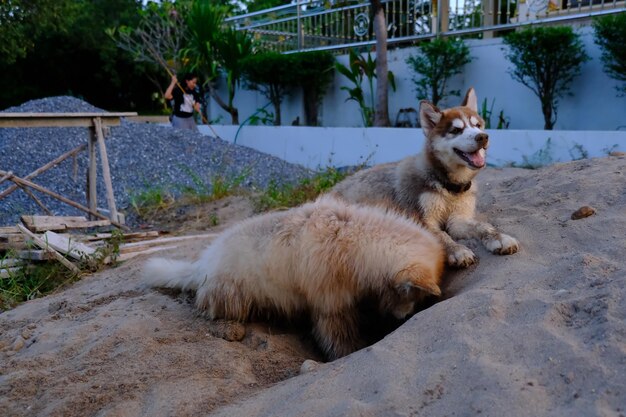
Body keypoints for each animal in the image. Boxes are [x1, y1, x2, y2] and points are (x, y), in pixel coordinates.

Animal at [141, 196, 444, 360]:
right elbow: (338, 338)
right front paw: (349, 352)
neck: (355, 238)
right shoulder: (330, 304)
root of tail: (202, 263)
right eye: (410, 293)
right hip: (232, 294)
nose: (404, 318)